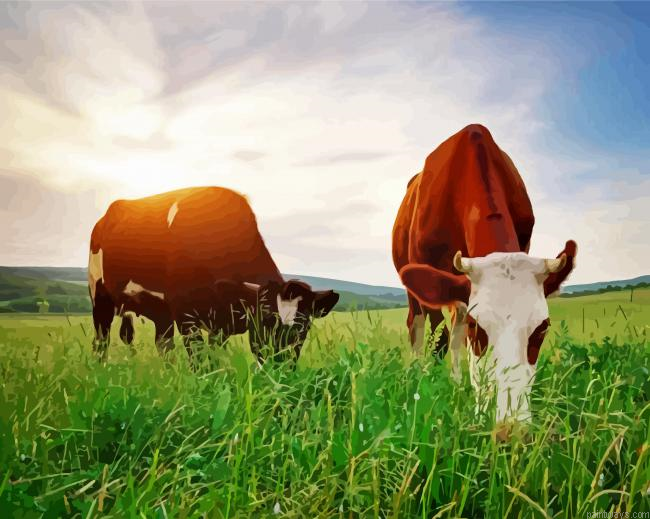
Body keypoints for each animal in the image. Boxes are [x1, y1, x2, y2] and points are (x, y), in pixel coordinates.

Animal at [88, 186, 339, 364]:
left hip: (160, 312)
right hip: (99, 296)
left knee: (162, 344)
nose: (281, 368)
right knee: (101, 340)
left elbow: (214, 356)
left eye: (303, 329)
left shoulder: (221, 322)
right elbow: (199, 359)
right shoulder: (185, 314)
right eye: (265, 323)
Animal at [392, 124, 576, 424]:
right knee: (421, 327)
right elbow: (440, 336)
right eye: (476, 327)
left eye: (542, 329)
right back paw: (419, 373)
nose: (510, 426)